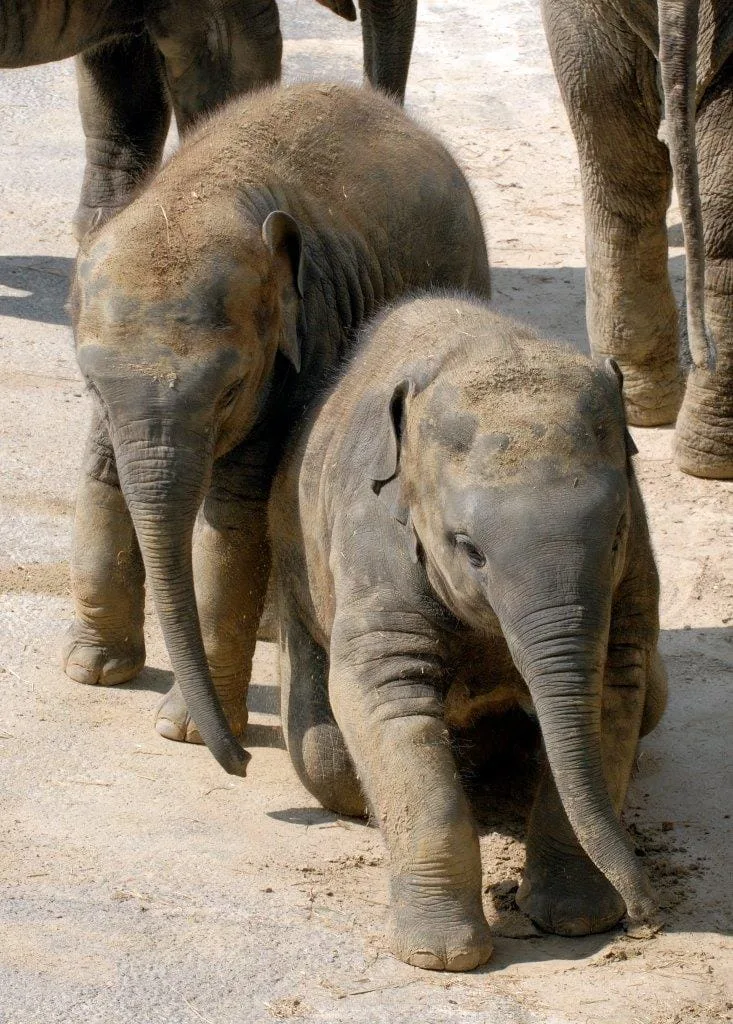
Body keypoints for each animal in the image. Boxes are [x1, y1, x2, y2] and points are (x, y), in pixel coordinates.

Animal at [63, 82, 491, 777]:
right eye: (91, 383)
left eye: (231, 390)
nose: (239, 762)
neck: (203, 191)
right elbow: (103, 475)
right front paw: (94, 672)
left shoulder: (301, 353)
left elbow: (233, 520)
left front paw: (182, 732)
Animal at [267, 294, 668, 970]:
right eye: (469, 549)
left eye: (614, 535)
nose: (647, 918)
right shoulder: (375, 539)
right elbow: (383, 695)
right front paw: (442, 957)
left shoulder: (637, 567)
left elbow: (615, 688)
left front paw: (577, 920)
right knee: (328, 758)